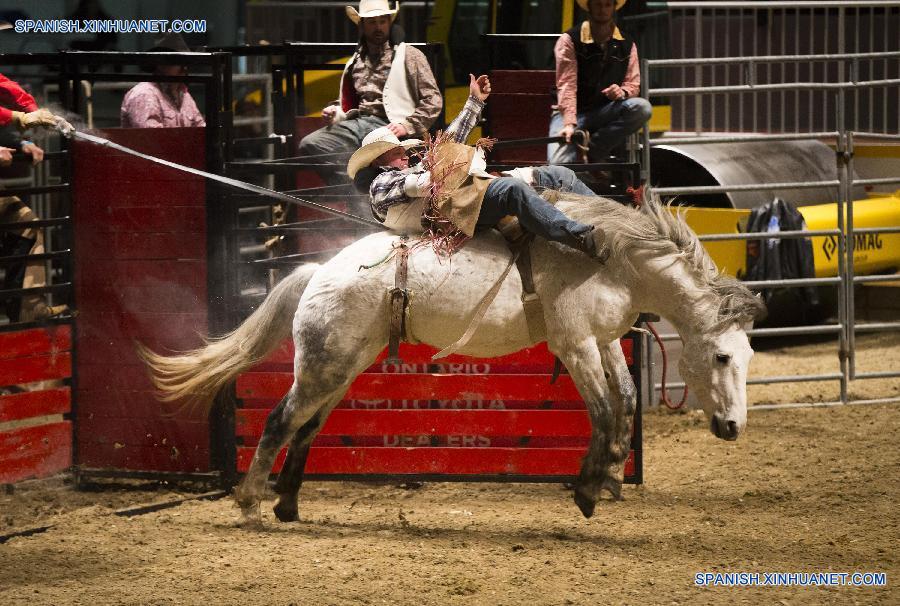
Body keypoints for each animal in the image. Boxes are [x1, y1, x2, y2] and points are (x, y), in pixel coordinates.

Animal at [141, 192, 768, 524]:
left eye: (748, 354)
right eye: (720, 357)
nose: (734, 428)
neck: (613, 259)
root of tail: (318, 271)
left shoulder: (604, 339)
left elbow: (628, 398)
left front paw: (612, 472)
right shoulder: (574, 344)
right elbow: (603, 410)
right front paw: (589, 489)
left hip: (340, 366)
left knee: (305, 427)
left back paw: (288, 505)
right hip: (323, 365)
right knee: (278, 421)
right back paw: (250, 501)